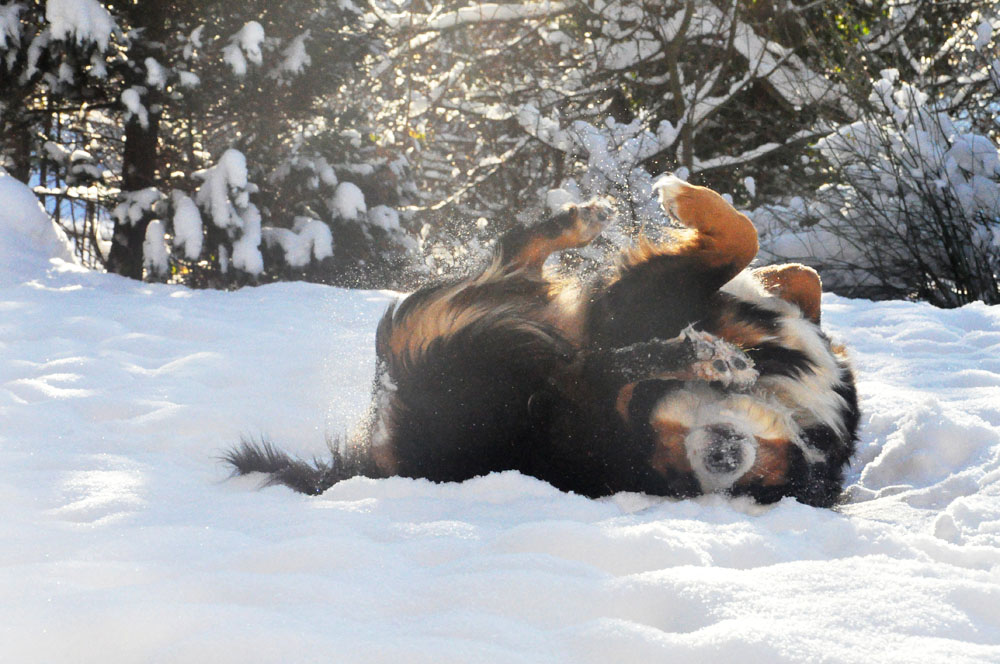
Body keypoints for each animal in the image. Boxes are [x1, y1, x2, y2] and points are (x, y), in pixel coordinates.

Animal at [227, 176, 860, 508]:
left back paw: (703, 355)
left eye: (761, 489)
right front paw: (687, 201)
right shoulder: (650, 296)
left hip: (519, 383)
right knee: (518, 265)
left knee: (582, 363)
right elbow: (764, 251)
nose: (724, 461)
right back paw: (581, 222)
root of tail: (391, 459)